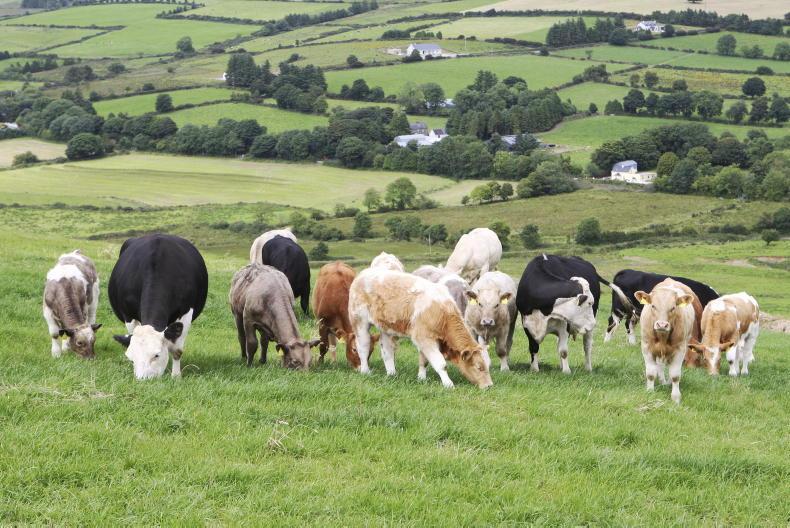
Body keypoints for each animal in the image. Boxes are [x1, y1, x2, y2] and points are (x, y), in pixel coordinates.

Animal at [109, 234, 208, 380]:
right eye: (131, 359)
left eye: (156, 355)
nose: (142, 380)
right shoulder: (128, 315)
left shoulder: (186, 312)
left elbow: (177, 350)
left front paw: (176, 376)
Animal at [348, 268, 492, 389]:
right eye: (479, 367)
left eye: (487, 365)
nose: (489, 385)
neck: (442, 311)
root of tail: (363, 273)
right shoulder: (424, 337)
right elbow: (441, 364)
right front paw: (448, 384)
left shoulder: (427, 339)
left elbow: (424, 360)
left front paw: (422, 378)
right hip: (360, 322)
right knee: (363, 347)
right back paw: (366, 371)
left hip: (386, 328)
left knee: (387, 351)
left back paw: (392, 373)